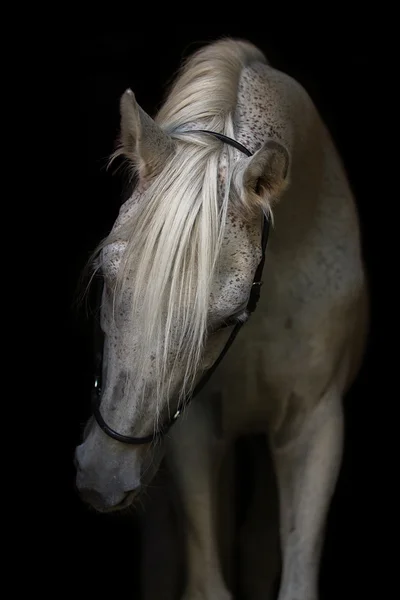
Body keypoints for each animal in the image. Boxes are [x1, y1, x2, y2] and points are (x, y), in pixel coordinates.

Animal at [74, 38, 368, 600]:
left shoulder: (315, 425)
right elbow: (207, 582)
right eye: (106, 276)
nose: (103, 474)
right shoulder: (194, 427)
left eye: (229, 316)